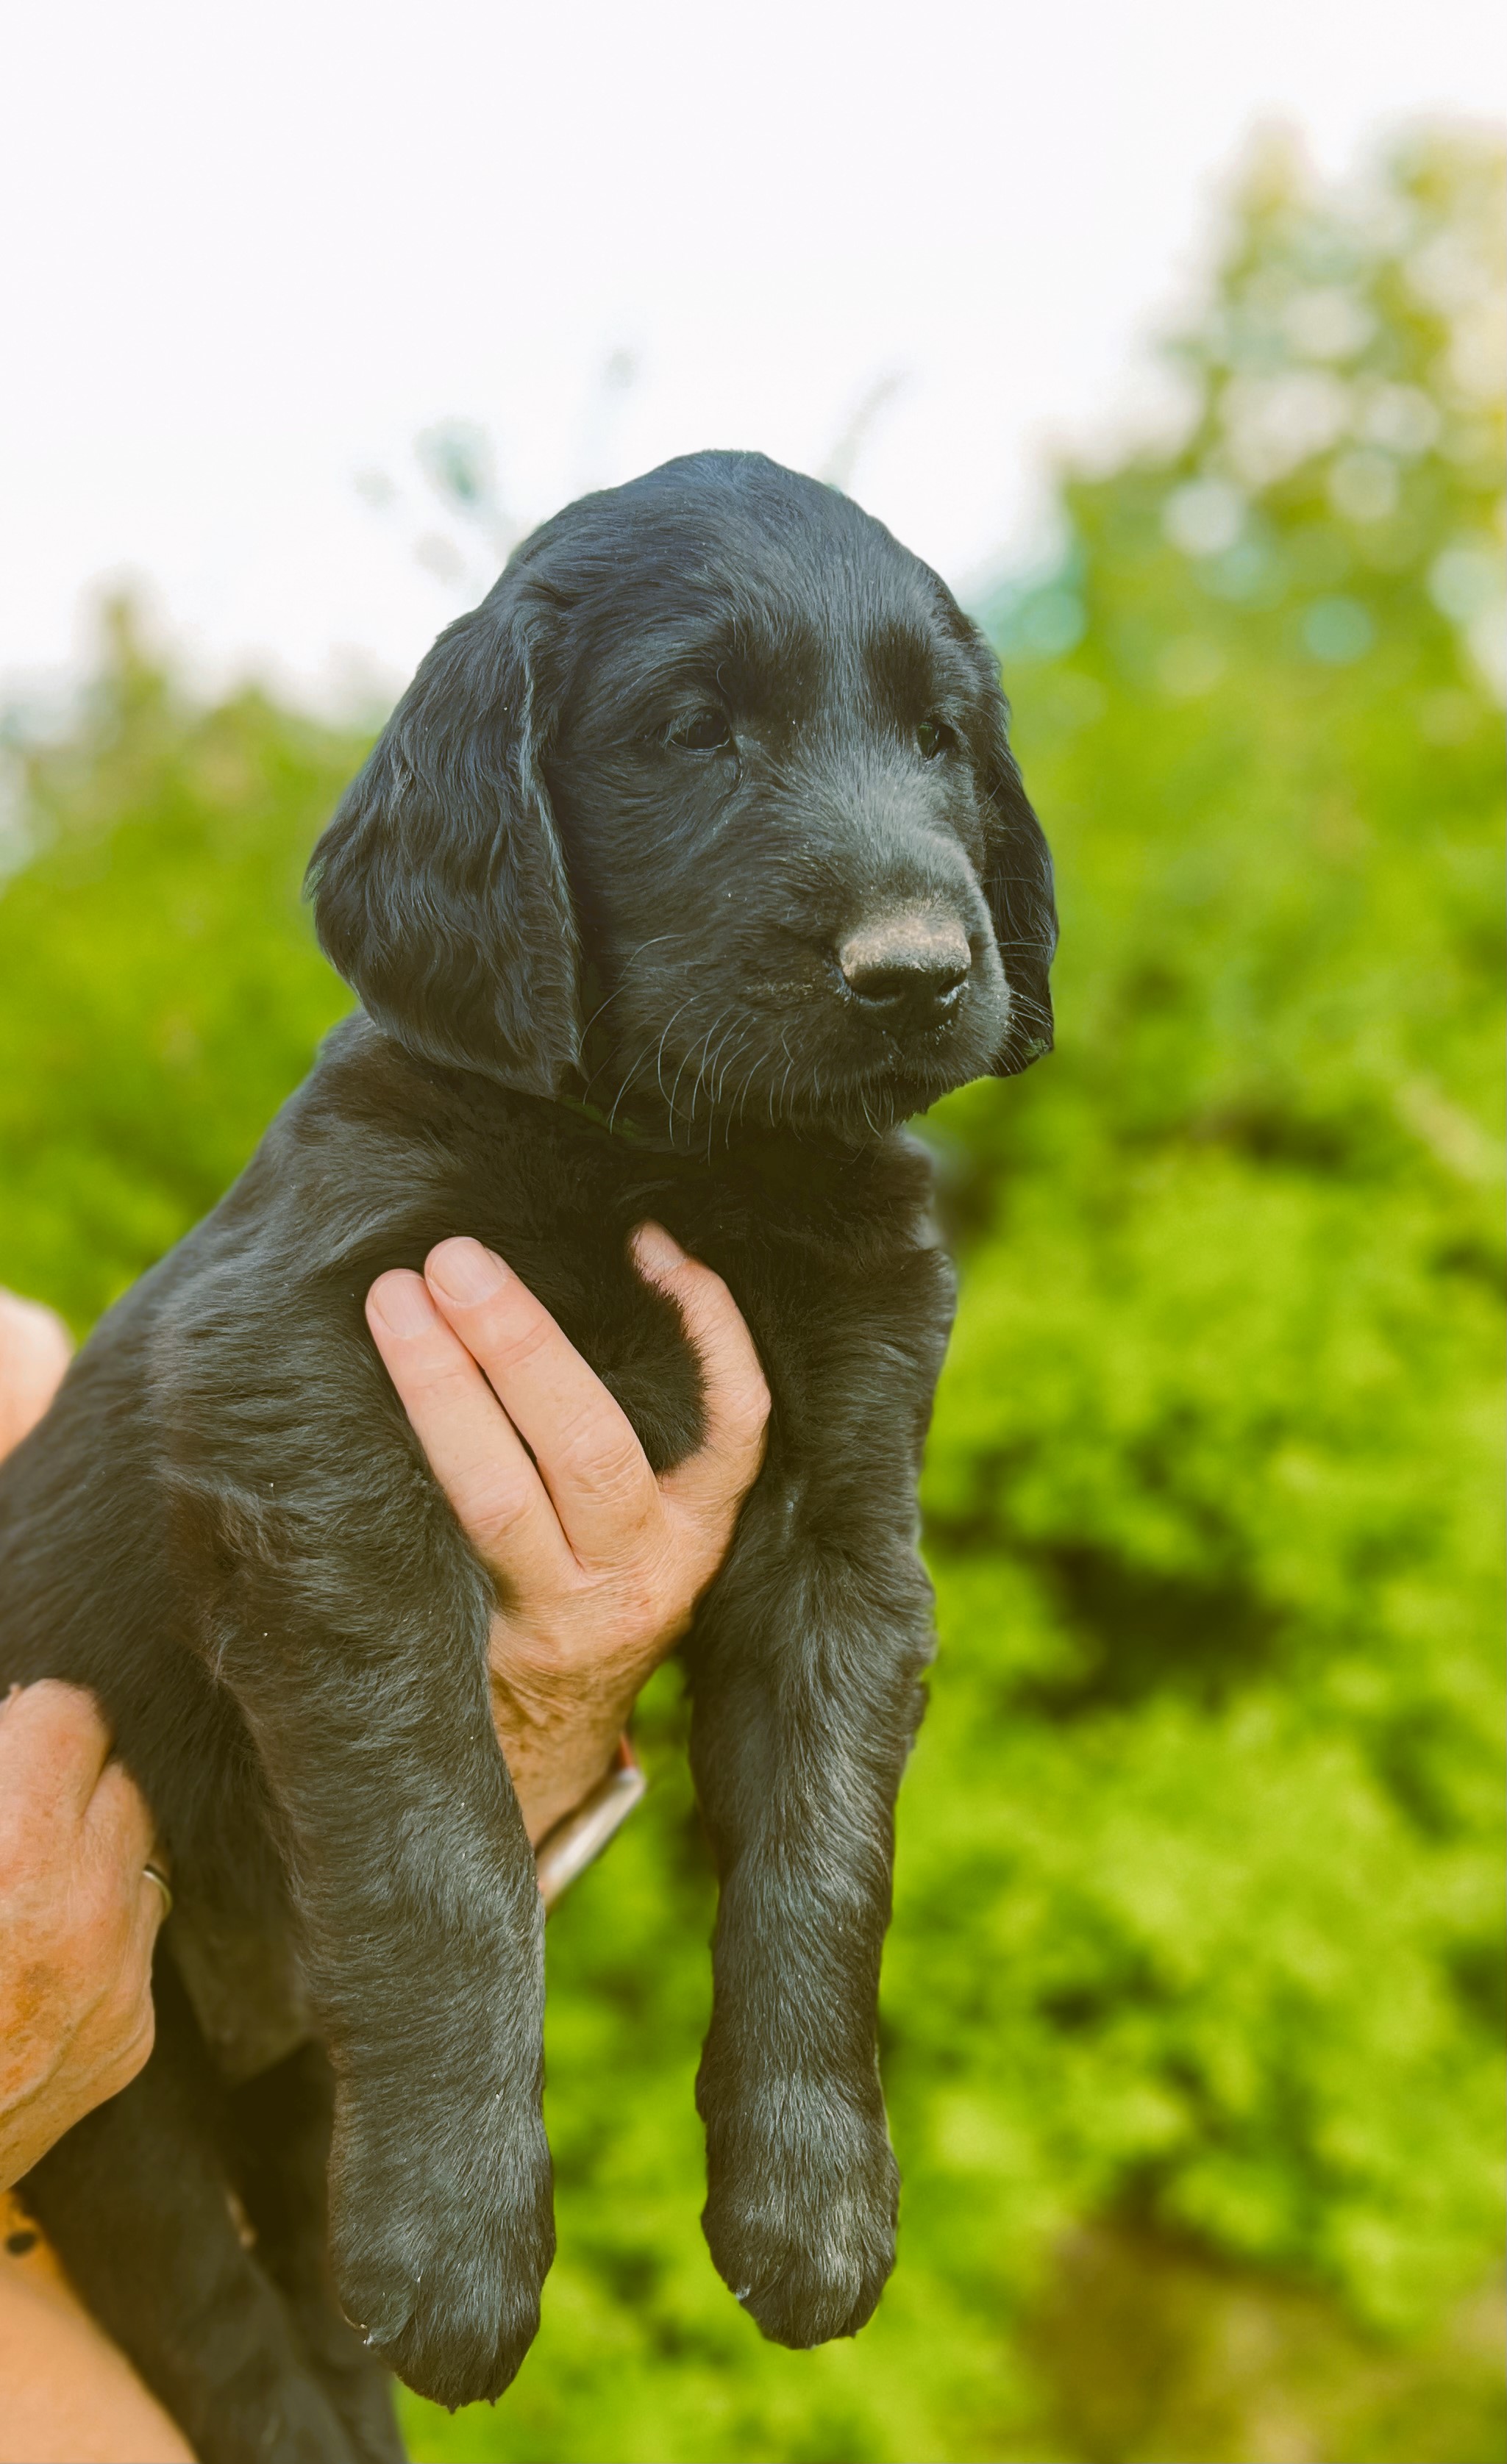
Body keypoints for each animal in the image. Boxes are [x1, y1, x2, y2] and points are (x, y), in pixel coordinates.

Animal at [0, 453, 1050, 2454]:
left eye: (939, 737)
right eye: (693, 731)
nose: (917, 969)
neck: (679, 1153)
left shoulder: (846, 1517)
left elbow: (822, 1855)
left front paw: (811, 2205)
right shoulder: (307, 1404)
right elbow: (441, 1840)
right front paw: (461, 2247)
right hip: (118, 2068)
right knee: (202, 2303)